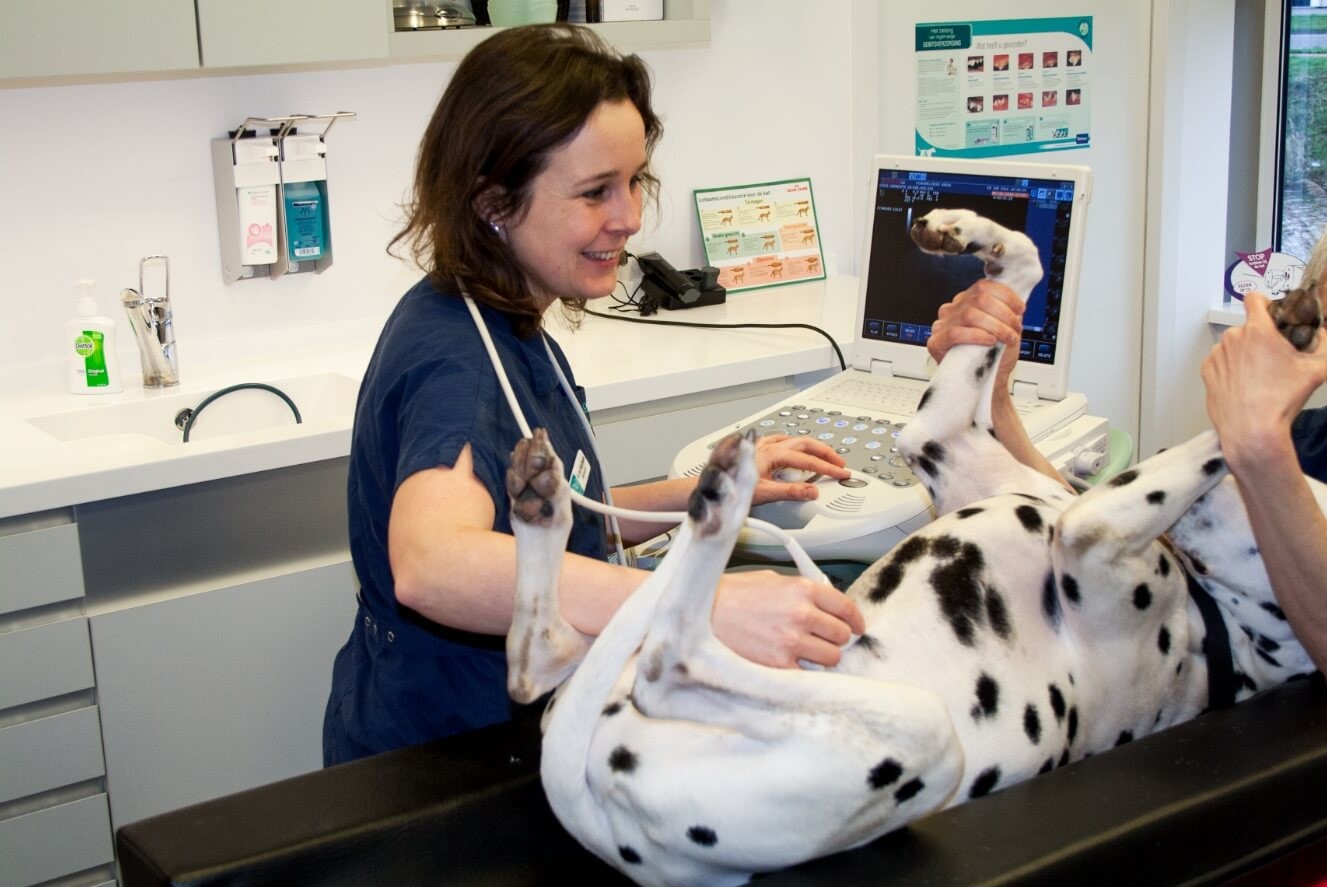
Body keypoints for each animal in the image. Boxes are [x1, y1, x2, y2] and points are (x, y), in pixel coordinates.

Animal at [504, 208, 1316, 886]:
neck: (1214, 613)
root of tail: (589, 808)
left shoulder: (1091, 530)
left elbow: (1227, 425)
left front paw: (1278, 346)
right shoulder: (946, 441)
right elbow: (1027, 267)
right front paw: (966, 232)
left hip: (920, 734)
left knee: (667, 658)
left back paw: (714, 501)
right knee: (544, 650)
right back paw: (550, 499)